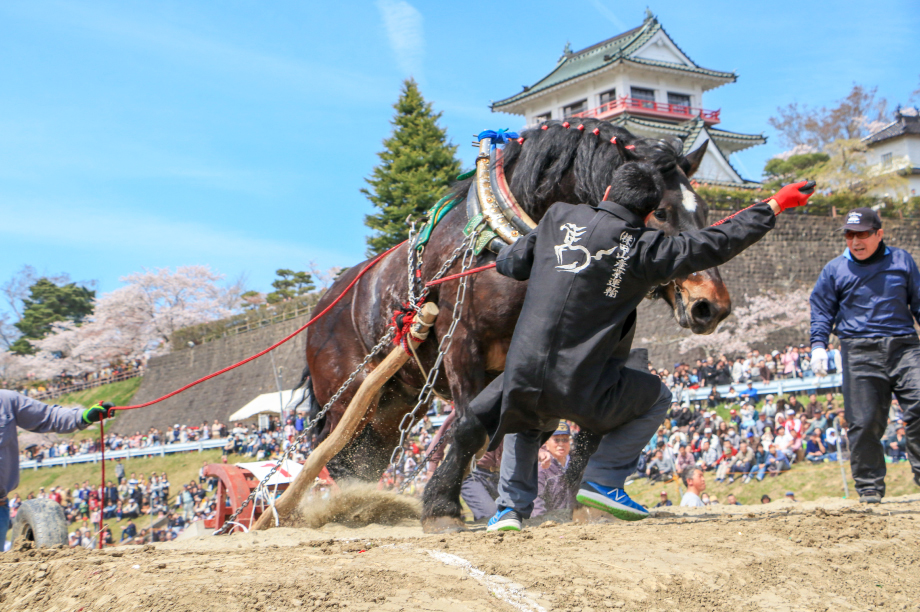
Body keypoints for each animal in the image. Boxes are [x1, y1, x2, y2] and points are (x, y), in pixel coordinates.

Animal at [298, 117, 728, 528]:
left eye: (705, 212)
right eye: (661, 212)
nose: (711, 304)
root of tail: (324, 307)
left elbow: (545, 429)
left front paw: (569, 501)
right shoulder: (462, 341)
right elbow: (470, 426)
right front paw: (442, 506)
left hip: (397, 399)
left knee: (368, 454)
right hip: (351, 390)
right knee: (335, 452)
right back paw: (348, 507)